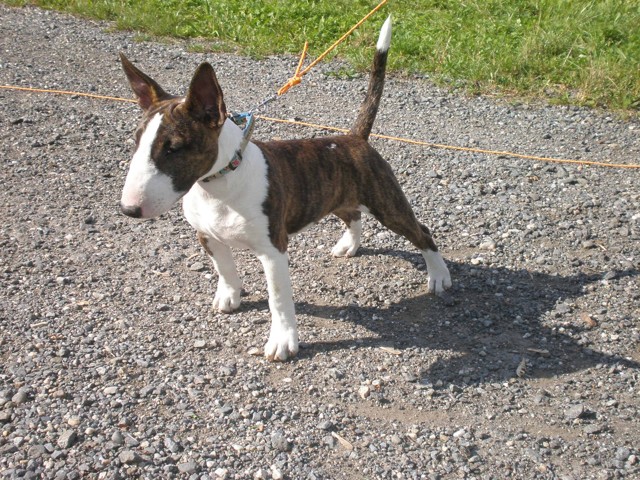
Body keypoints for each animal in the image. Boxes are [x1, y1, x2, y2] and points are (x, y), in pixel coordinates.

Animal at [119, 17, 451, 361]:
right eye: (136, 140)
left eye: (174, 148)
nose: (129, 209)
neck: (219, 185)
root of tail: (353, 137)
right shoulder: (207, 235)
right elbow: (224, 269)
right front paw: (229, 296)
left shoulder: (273, 250)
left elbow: (277, 298)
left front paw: (282, 341)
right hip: (337, 196)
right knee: (353, 216)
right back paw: (349, 245)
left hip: (386, 203)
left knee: (422, 232)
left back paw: (439, 276)